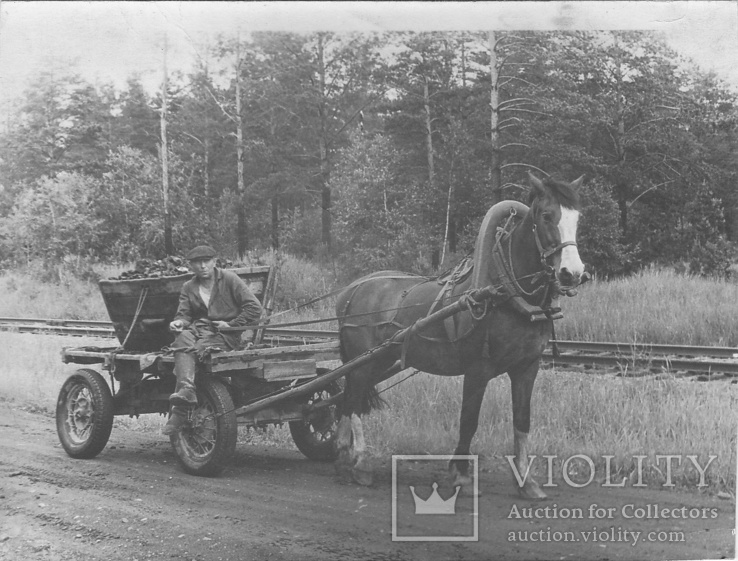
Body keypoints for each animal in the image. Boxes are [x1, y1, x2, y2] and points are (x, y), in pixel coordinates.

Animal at [336, 174, 584, 498]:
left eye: (577, 218)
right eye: (546, 215)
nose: (573, 273)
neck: (505, 292)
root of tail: (349, 292)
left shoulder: (526, 368)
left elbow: (522, 421)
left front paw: (526, 482)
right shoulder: (478, 369)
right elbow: (469, 421)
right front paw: (462, 476)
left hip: (379, 360)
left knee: (346, 397)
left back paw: (343, 452)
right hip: (363, 363)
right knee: (353, 400)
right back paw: (361, 462)